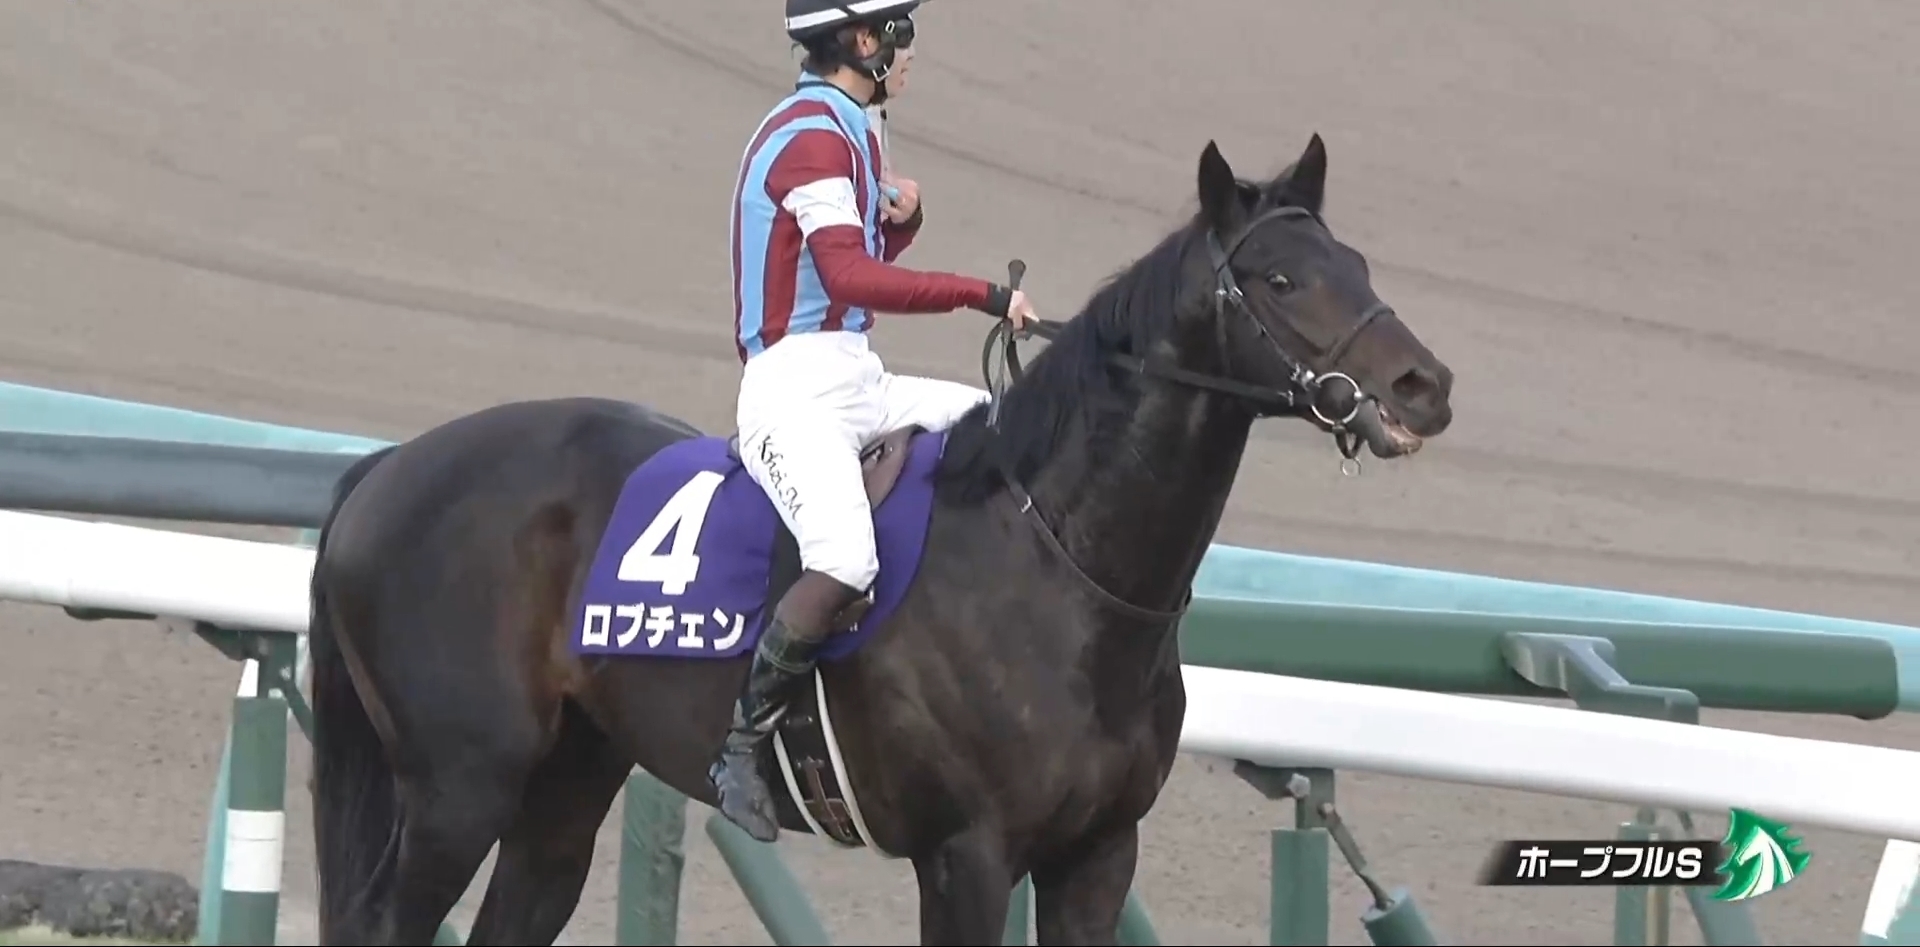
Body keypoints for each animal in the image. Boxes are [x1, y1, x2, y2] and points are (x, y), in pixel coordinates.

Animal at [305, 133, 1454, 945]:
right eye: (1278, 279)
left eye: (1354, 260)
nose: (1423, 386)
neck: (1060, 567)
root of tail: (383, 468)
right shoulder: (968, 854)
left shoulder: (1096, 854)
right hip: (459, 783)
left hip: (567, 781)